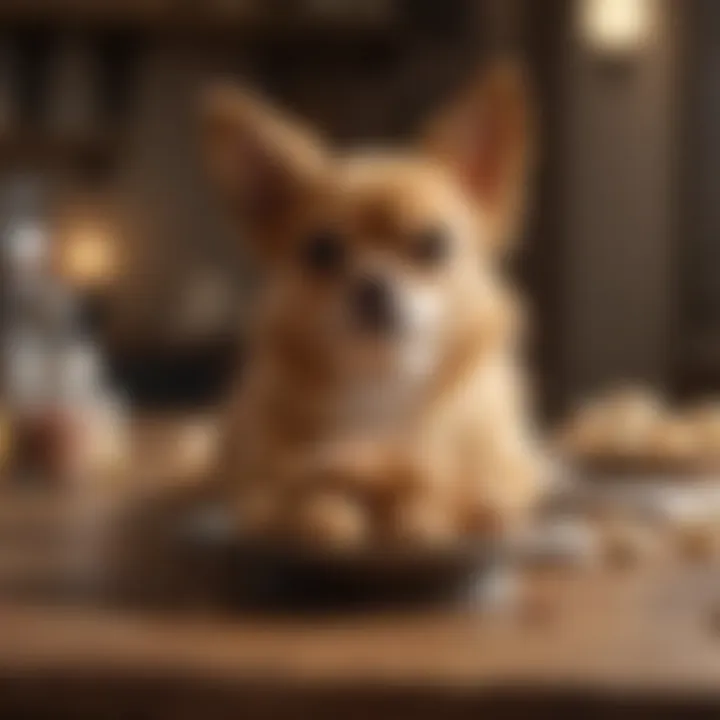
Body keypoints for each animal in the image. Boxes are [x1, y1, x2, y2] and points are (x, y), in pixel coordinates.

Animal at [200, 64, 544, 548]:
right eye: (321, 251)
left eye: (432, 245)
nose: (372, 284)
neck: (384, 383)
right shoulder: (261, 483)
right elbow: (286, 499)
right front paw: (327, 511)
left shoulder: (511, 475)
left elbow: (455, 487)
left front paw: (418, 508)